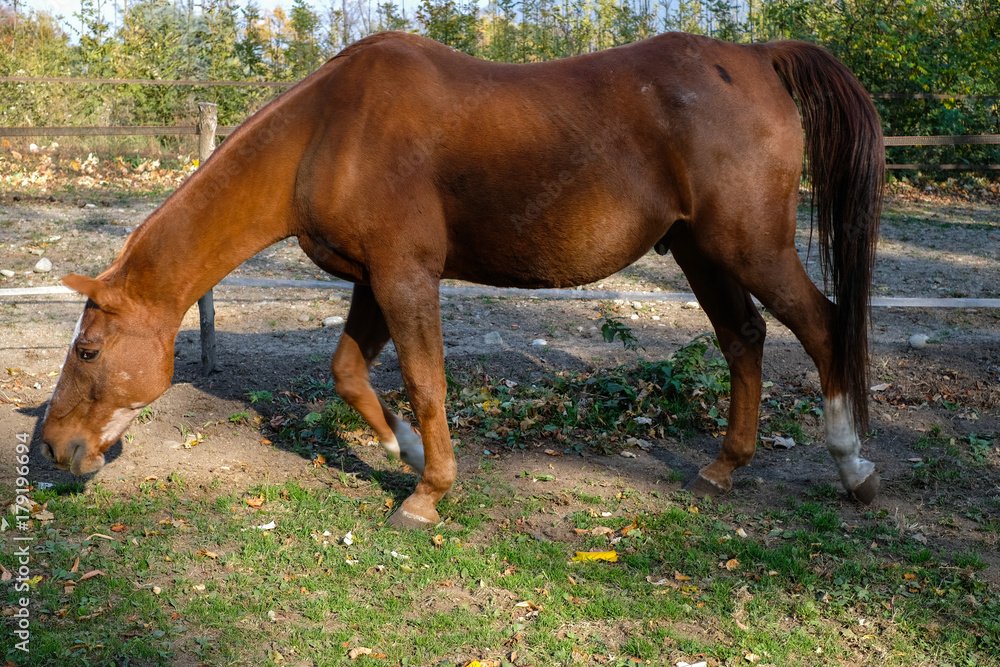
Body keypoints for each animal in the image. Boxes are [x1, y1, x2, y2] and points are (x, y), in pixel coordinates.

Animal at [40, 30, 885, 529]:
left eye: (88, 351)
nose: (55, 448)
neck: (330, 130)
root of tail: (754, 54)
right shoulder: (372, 280)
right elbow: (350, 372)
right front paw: (408, 453)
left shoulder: (407, 278)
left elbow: (424, 380)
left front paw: (427, 494)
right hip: (700, 250)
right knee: (744, 337)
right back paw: (723, 467)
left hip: (749, 246)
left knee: (822, 325)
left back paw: (854, 466)